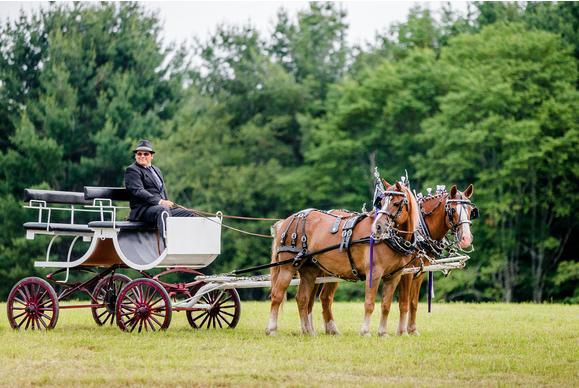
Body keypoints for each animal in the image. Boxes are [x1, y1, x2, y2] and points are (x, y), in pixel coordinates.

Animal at [266, 182, 420, 336]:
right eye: (381, 203)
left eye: (396, 203)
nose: (378, 227)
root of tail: (289, 219)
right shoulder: (374, 273)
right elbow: (369, 303)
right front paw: (365, 331)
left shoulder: (394, 276)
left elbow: (386, 305)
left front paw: (382, 333)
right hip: (288, 267)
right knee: (277, 294)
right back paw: (272, 329)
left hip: (309, 270)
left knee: (302, 298)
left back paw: (308, 332)